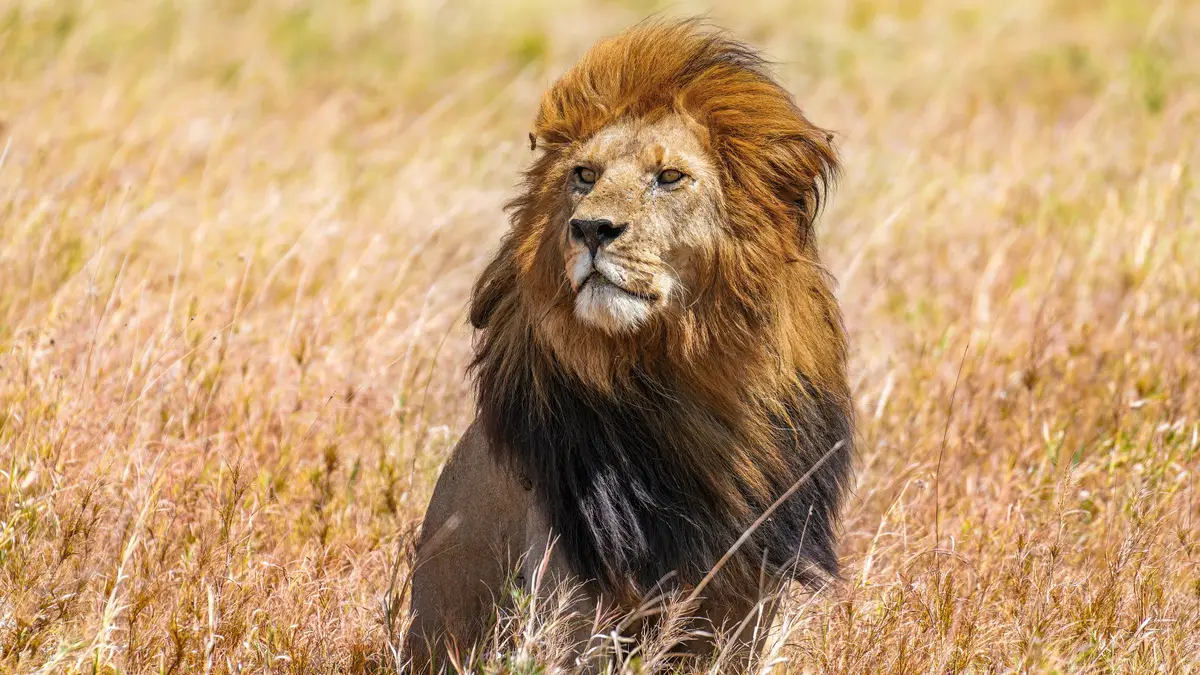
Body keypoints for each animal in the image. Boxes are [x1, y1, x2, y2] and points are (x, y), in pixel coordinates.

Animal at [406, 19, 854, 672]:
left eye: (668, 178)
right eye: (584, 175)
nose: (590, 229)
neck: (682, 377)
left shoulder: (747, 597)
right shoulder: (570, 591)